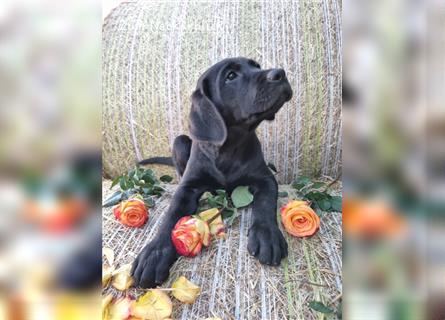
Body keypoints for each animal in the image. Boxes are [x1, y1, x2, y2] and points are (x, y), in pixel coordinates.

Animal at [131, 57, 292, 288]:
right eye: (231, 76)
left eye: (257, 66)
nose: (280, 73)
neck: (228, 148)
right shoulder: (188, 187)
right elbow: (170, 217)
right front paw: (153, 254)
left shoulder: (266, 179)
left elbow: (265, 204)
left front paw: (267, 235)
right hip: (180, 142)